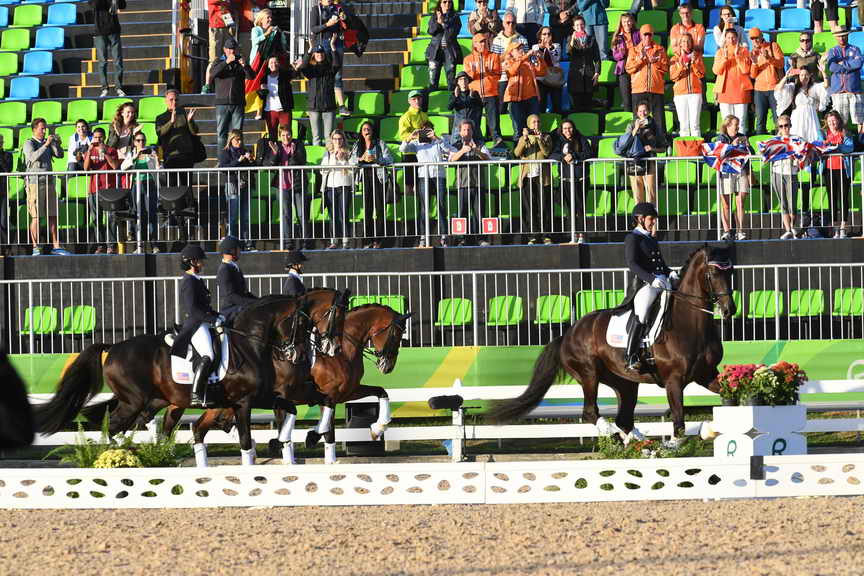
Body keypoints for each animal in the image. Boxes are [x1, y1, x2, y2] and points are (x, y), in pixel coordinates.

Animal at [34, 295, 313, 464]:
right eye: (300, 323)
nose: (297, 355)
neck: (247, 344)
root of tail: (112, 347)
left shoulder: (263, 396)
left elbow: (289, 410)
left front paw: (285, 441)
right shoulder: (243, 401)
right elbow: (245, 440)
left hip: (150, 400)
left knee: (121, 423)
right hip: (134, 401)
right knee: (112, 426)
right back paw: (121, 455)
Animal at [193, 304, 412, 465]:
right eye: (396, 334)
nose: (387, 366)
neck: (340, 350)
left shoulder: (347, 392)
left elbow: (381, 392)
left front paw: (378, 428)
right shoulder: (330, 394)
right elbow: (328, 428)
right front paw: (315, 440)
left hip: (229, 403)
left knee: (206, 426)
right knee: (208, 425)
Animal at [490, 245, 735, 442]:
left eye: (730, 271)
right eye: (714, 272)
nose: (729, 310)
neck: (689, 324)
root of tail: (568, 333)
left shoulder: (705, 374)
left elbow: (730, 395)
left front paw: (712, 429)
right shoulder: (673, 381)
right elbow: (679, 424)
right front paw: (674, 445)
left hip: (625, 383)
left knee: (623, 419)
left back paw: (642, 445)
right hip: (588, 374)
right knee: (591, 412)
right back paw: (616, 437)